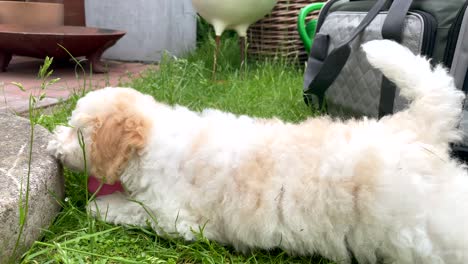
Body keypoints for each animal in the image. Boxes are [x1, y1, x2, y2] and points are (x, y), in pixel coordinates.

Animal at [48, 39, 468, 264]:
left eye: (75, 130)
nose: (52, 143)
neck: (153, 140)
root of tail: (417, 127)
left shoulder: (175, 218)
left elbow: (133, 210)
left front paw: (98, 206)